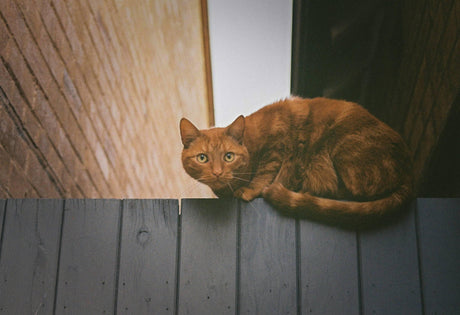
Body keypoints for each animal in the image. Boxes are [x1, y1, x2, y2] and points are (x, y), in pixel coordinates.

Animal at [180, 97, 414, 223]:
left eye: (228, 156)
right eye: (203, 158)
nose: (217, 172)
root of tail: (407, 168)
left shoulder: (278, 144)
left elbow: (264, 173)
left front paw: (249, 190)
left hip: (343, 151)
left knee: (353, 191)